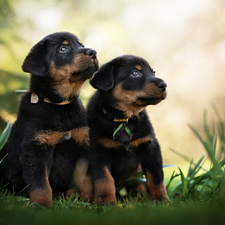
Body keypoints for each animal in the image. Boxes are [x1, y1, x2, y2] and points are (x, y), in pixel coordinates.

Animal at [0, 31, 98, 207]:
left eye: (81, 44)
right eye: (63, 48)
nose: (93, 52)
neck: (59, 106)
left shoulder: (83, 143)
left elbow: (86, 180)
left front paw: (88, 202)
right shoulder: (36, 148)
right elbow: (41, 185)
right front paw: (41, 206)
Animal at [87, 55, 170, 204]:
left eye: (153, 72)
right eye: (135, 73)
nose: (164, 84)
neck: (123, 120)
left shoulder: (150, 146)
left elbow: (155, 177)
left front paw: (161, 200)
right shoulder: (98, 150)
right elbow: (104, 178)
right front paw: (105, 201)